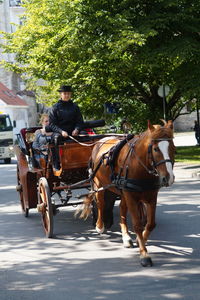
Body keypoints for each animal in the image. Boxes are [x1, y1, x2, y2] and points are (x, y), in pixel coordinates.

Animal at [79, 120, 175, 266]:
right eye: (155, 149)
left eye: (173, 148)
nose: (168, 178)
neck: (139, 166)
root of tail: (100, 141)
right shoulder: (130, 196)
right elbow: (137, 224)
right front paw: (144, 254)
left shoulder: (151, 196)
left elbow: (150, 224)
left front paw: (139, 241)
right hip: (98, 184)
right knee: (101, 204)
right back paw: (100, 226)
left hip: (122, 191)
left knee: (122, 208)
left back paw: (126, 237)